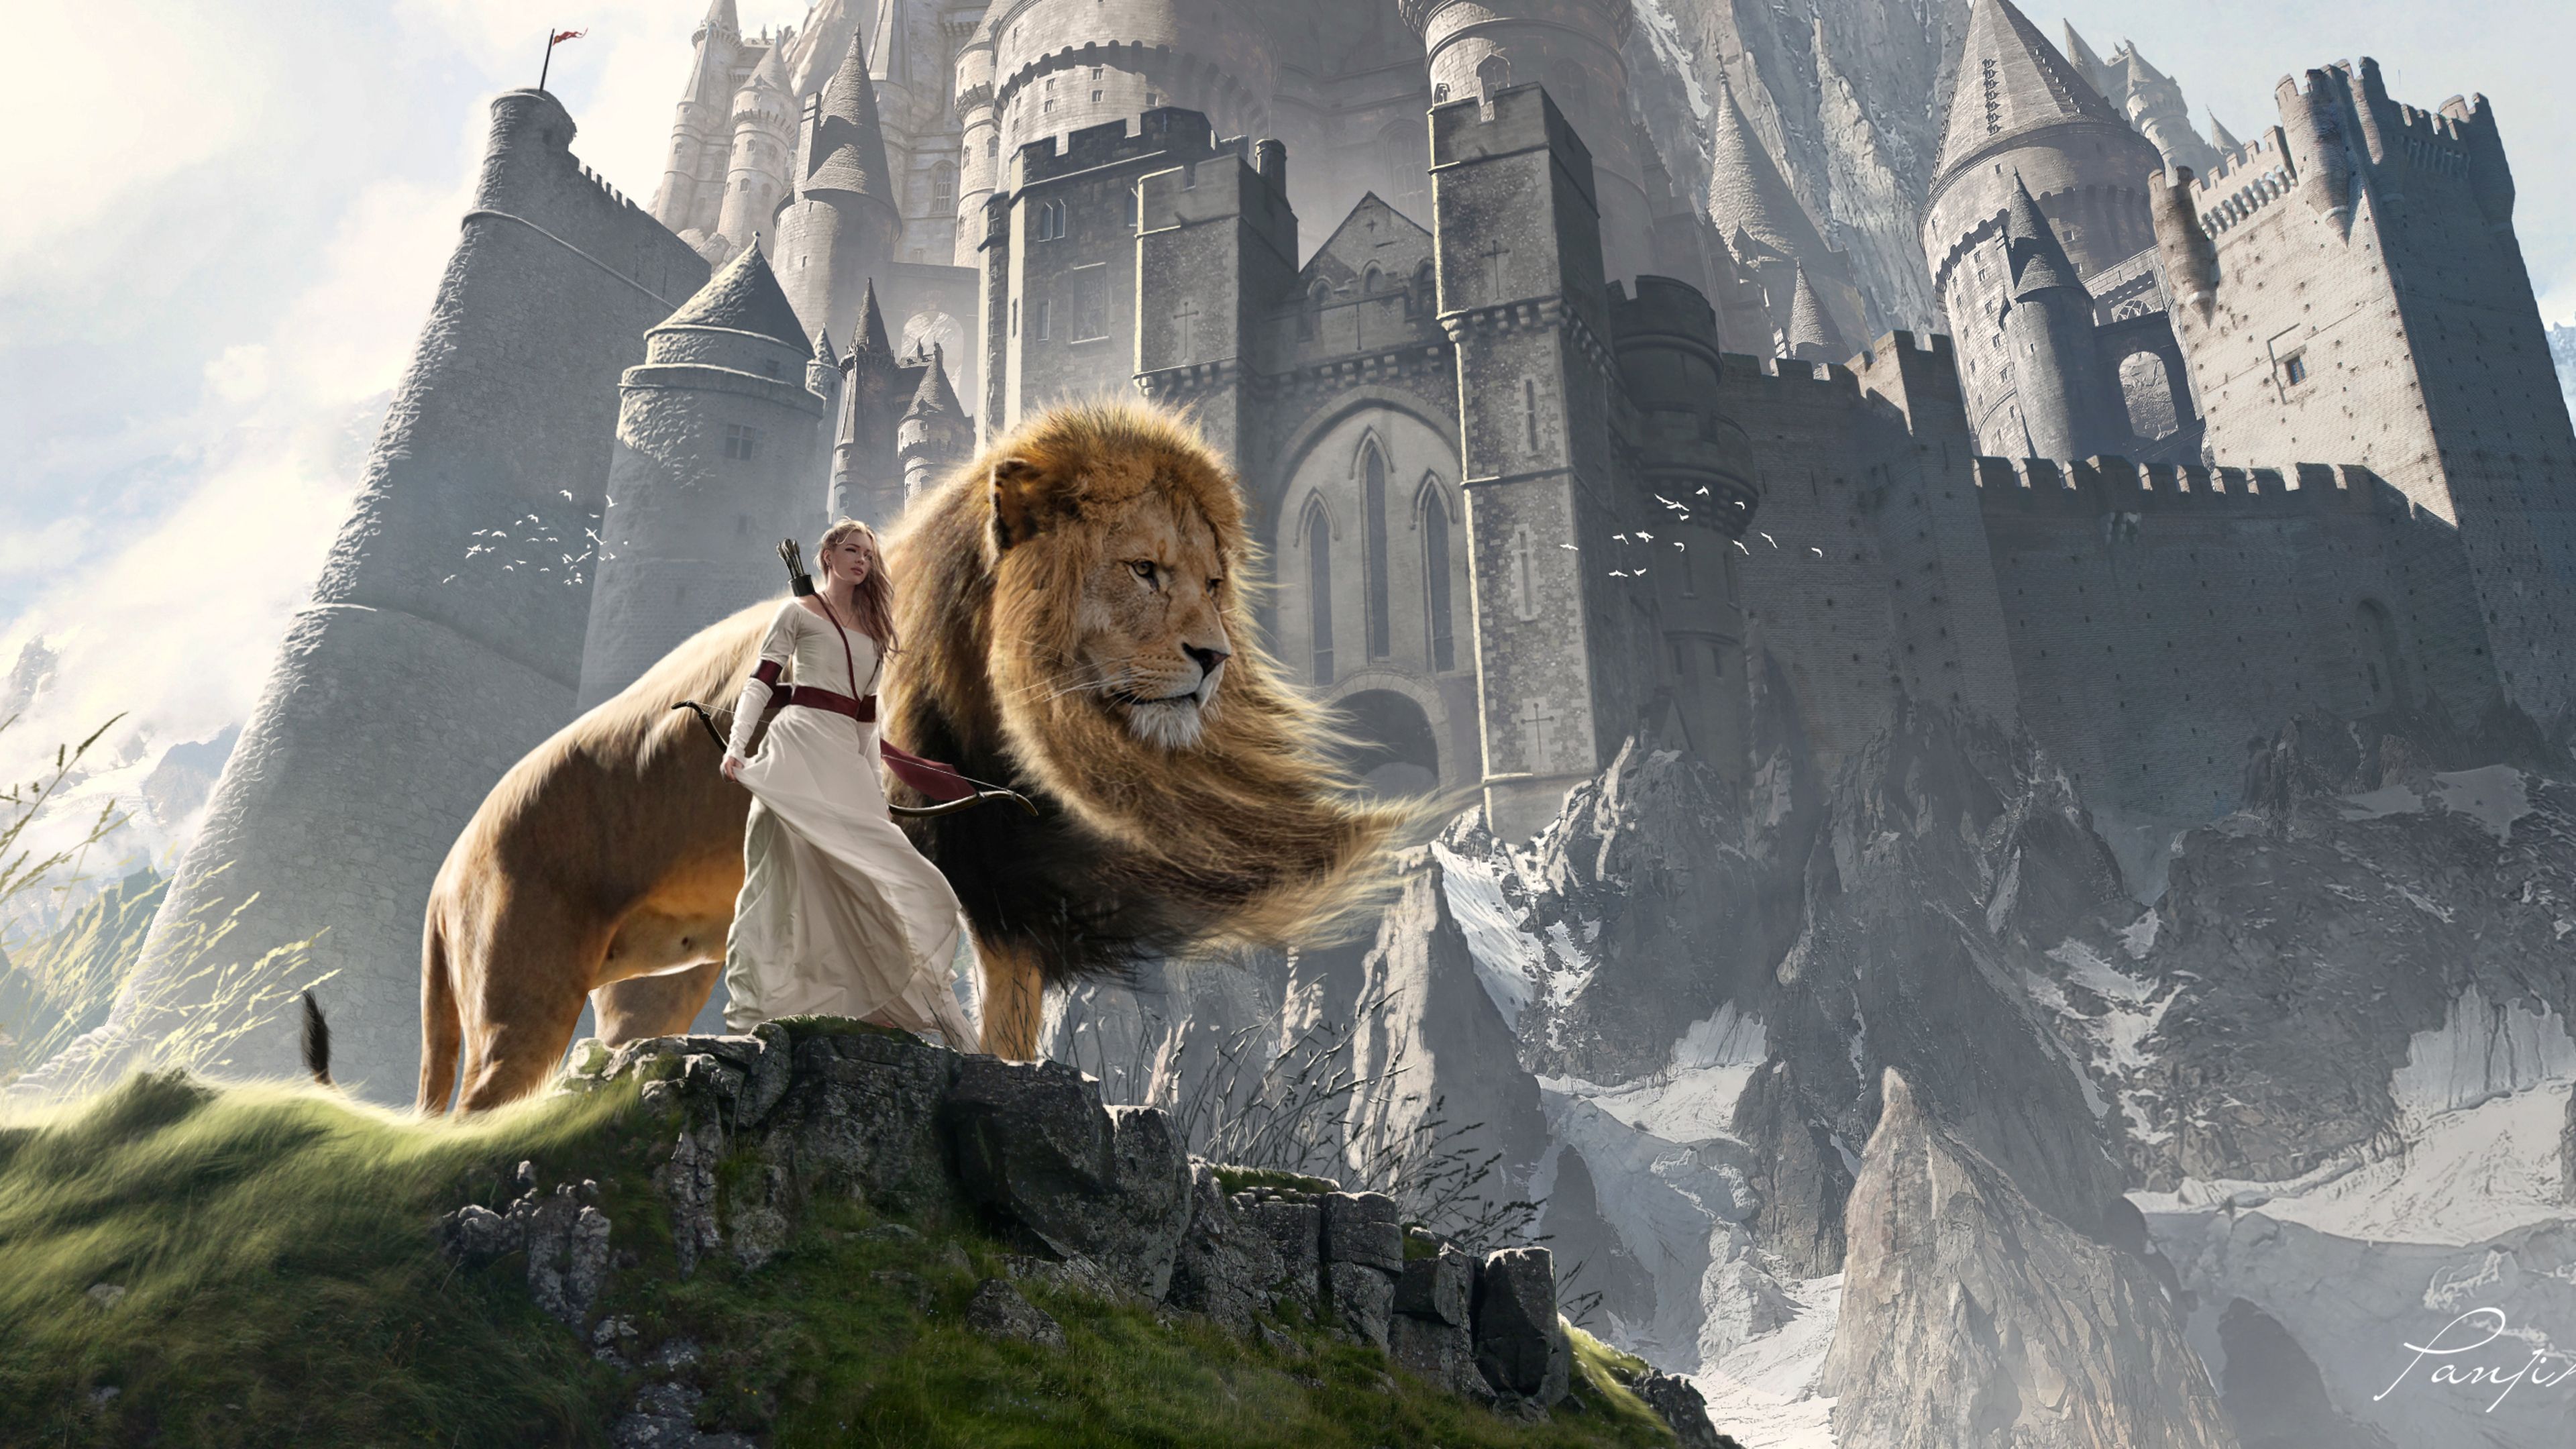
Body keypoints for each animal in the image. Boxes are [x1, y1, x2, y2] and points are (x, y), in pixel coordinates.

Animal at [418, 400, 1417, 1112]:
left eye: (1214, 582)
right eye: (1143, 569)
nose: (1214, 659)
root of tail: (448, 864)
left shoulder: (1012, 887)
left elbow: (1012, 1019)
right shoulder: (947, 854)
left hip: (654, 985)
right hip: (522, 990)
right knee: (475, 1109)